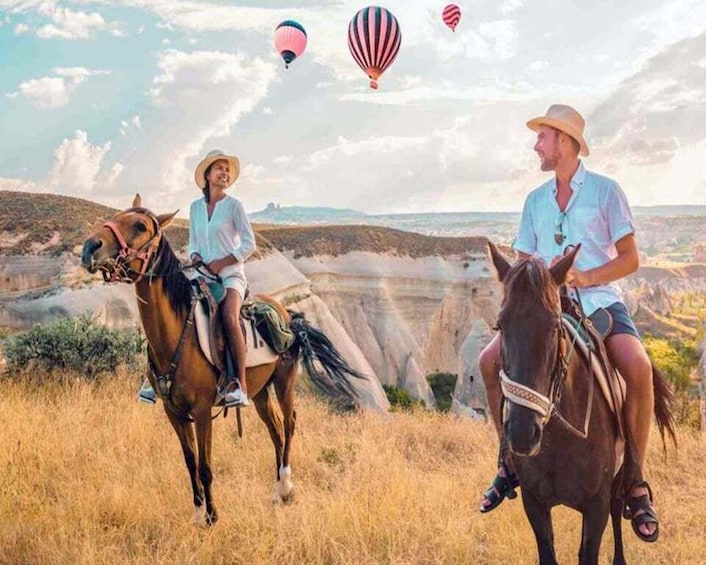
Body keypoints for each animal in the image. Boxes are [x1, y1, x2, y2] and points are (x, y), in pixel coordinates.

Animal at [82, 197, 364, 524]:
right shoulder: (173, 412)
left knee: (289, 423)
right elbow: (190, 462)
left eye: (140, 226)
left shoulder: (203, 411)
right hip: (259, 392)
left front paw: (212, 517)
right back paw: (276, 492)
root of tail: (288, 313)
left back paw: (286, 487)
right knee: (275, 428)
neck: (176, 335)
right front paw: (196, 514)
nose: (90, 247)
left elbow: (205, 467)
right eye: (116, 216)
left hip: (284, 381)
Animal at [486, 242, 672, 564]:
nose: (522, 433)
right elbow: (547, 552)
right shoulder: (534, 503)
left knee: (618, 510)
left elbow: (589, 551)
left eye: (554, 326)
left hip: (618, 479)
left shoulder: (595, 507)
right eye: (500, 325)